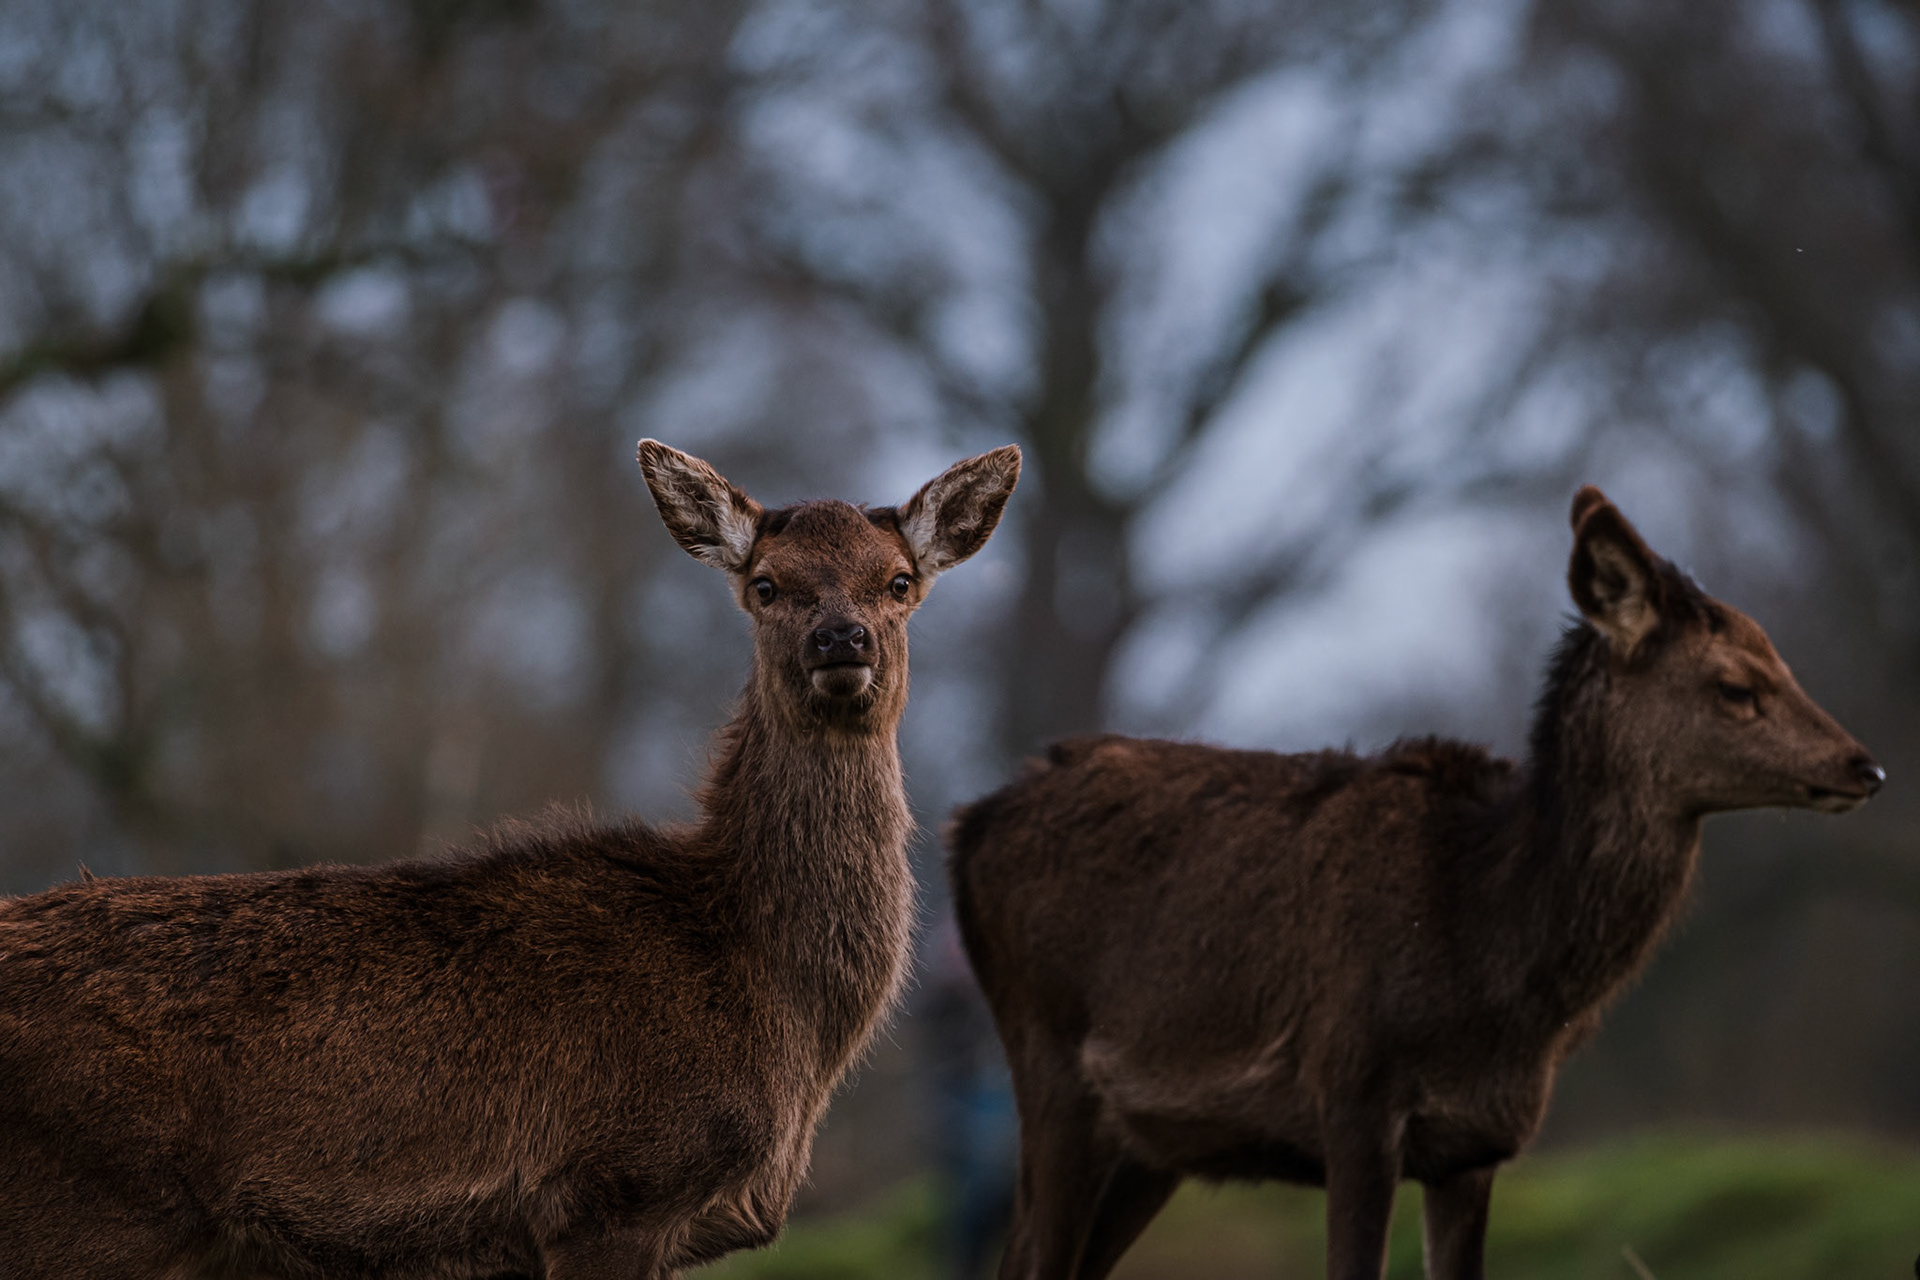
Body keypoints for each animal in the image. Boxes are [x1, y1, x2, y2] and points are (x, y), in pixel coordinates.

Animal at [947, 486, 1883, 1280]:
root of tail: (972, 825)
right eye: (1736, 685)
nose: (1864, 766)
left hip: (1152, 1142)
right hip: (1048, 1061)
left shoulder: (1476, 1145)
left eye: (1782, 662)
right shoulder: (1352, 1095)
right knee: (1026, 1259)